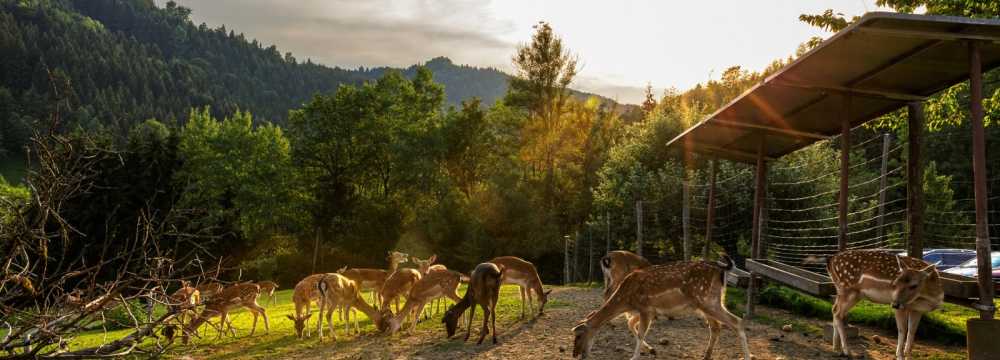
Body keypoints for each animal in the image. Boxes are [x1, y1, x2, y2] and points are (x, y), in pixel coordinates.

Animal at [572, 255, 752, 360]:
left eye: (579, 335)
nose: (576, 354)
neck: (626, 300)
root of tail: (722, 269)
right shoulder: (645, 310)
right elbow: (631, 325)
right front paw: (651, 350)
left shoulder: (646, 308)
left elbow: (641, 333)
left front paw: (634, 357)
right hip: (711, 301)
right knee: (716, 327)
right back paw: (706, 356)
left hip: (707, 300)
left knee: (736, 322)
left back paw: (747, 356)